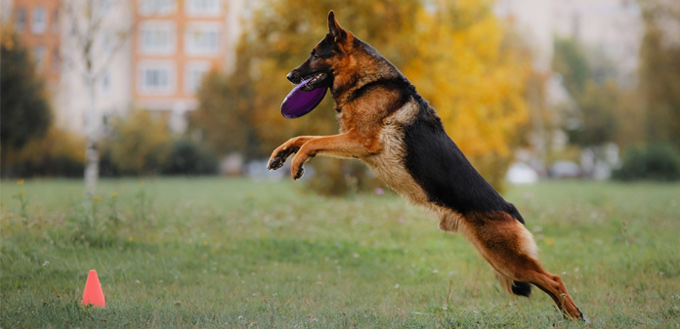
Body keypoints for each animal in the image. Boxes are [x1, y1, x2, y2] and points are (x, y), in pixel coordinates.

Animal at [268, 11, 580, 320]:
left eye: (315, 54)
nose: (289, 76)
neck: (368, 82)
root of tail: (511, 209)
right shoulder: (351, 140)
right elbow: (305, 138)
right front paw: (281, 155)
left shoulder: (359, 140)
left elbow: (312, 143)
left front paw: (297, 164)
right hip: (499, 260)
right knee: (549, 284)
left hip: (507, 260)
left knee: (555, 280)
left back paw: (576, 317)